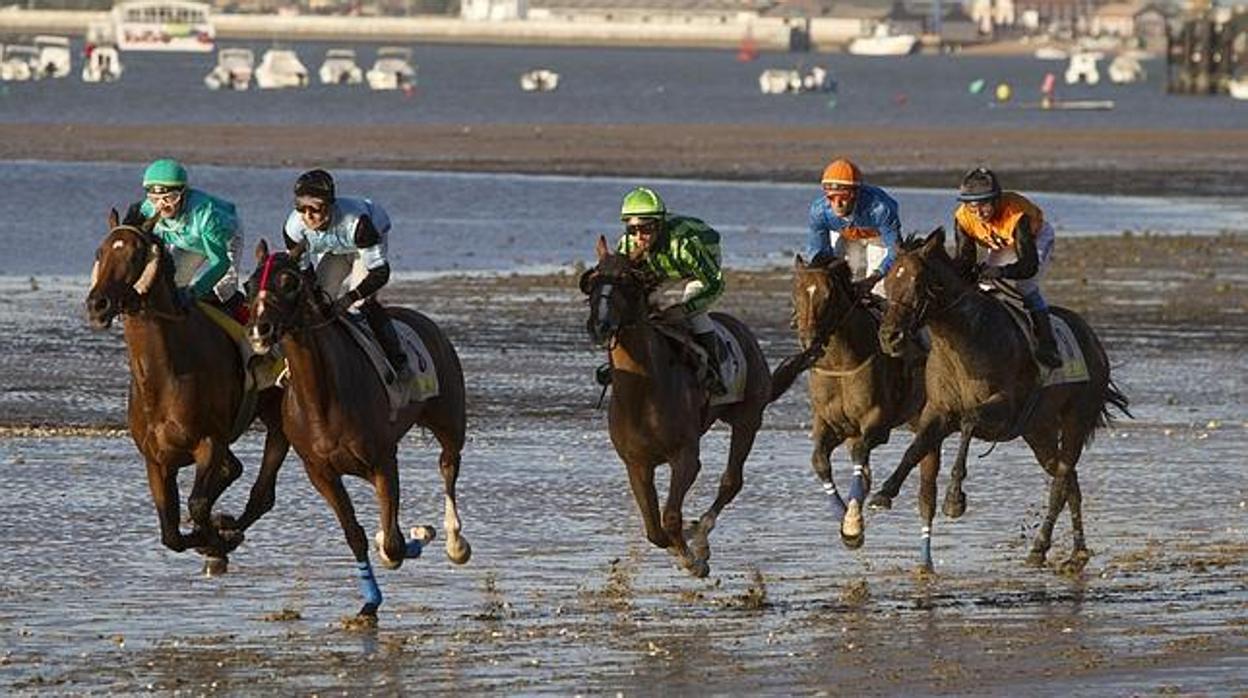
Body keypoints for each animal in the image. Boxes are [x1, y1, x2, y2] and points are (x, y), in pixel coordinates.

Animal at [85, 209, 289, 576]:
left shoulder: (210, 442)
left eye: (135, 256)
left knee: (261, 493)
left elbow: (197, 504)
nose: (98, 304)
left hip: (281, 420)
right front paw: (211, 538)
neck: (164, 377)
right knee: (235, 472)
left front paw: (218, 540)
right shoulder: (156, 459)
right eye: (100, 252)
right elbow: (170, 533)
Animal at [245, 238, 469, 616]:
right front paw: (370, 599)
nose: (260, 330)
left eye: (289, 282)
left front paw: (418, 535)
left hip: (450, 421)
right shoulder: (320, 472)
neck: (322, 398)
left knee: (448, 467)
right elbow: (357, 534)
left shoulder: (383, 463)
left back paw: (454, 541)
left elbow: (393, 544)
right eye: (248, 285)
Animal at [581, 235, 773, 579]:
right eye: (592, 282)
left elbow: (670, 517)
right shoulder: (636, 463)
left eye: (627, 282)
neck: (643, 393)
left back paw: (702, 535)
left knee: (731, 481)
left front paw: (693, 559)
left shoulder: (685, 457)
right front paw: (679, 546)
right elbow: (654, 529)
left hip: (749, 418)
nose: (599, 324)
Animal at [763, 253, 933, 549]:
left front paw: (853, 523)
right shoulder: (831, 424)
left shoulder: (877, 423)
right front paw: (845, 520)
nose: (808, 339)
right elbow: (820, 461)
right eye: (796, 292)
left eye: (827, 295)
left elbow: (860, 456)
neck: (841, 363)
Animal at [868, 229, 1133, 574]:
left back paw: (1048, 548)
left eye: (916, 283)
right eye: (888, 282)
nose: (890, 337)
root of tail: (1094, 343)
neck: (961, 340)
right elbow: (916, 448)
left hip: (1076, 418)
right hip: (1038, 430)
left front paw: (954, 498)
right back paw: (1068, 551)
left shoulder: (1004, 408)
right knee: (1069, 482)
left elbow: (968, 421)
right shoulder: (938, 411)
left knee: (1061, 482)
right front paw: (884, 492)